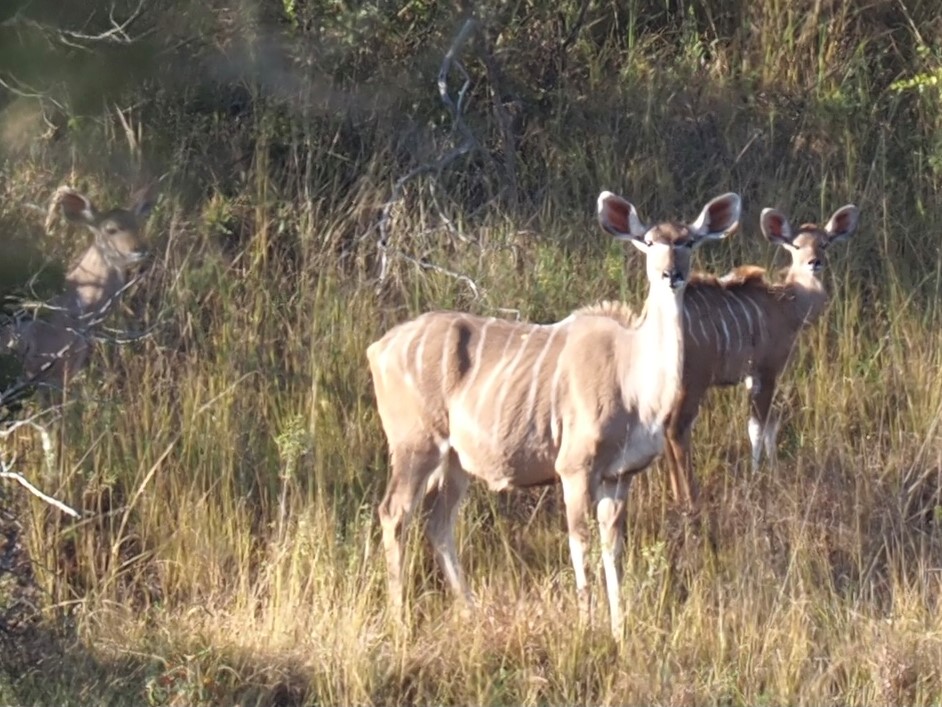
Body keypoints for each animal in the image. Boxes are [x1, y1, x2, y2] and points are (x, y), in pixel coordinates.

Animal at [368, 189, 744, 636]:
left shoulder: (620, 476)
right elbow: (579, 543)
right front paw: (587, 625)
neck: (634, 381)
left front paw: (620, 629)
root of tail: (377, 348)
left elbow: (612, 548)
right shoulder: (574, 467)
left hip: (455, 460)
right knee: (394, 513)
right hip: (415, 444)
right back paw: (400, 621)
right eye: (650, 241)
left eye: (689, 241)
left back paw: (472, 611)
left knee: (437, 522)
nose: (672, 274)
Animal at [664, 202, 864, 506]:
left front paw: (773, 469)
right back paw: (689, 500)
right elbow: (757, 427)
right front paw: (757, 475)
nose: (814, 262)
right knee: (676, 429)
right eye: (796, 245)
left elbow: (770, 425)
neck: (787, 304)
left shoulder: (753, 375)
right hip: (693, 381)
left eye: (825, 244)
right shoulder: (767, 370)